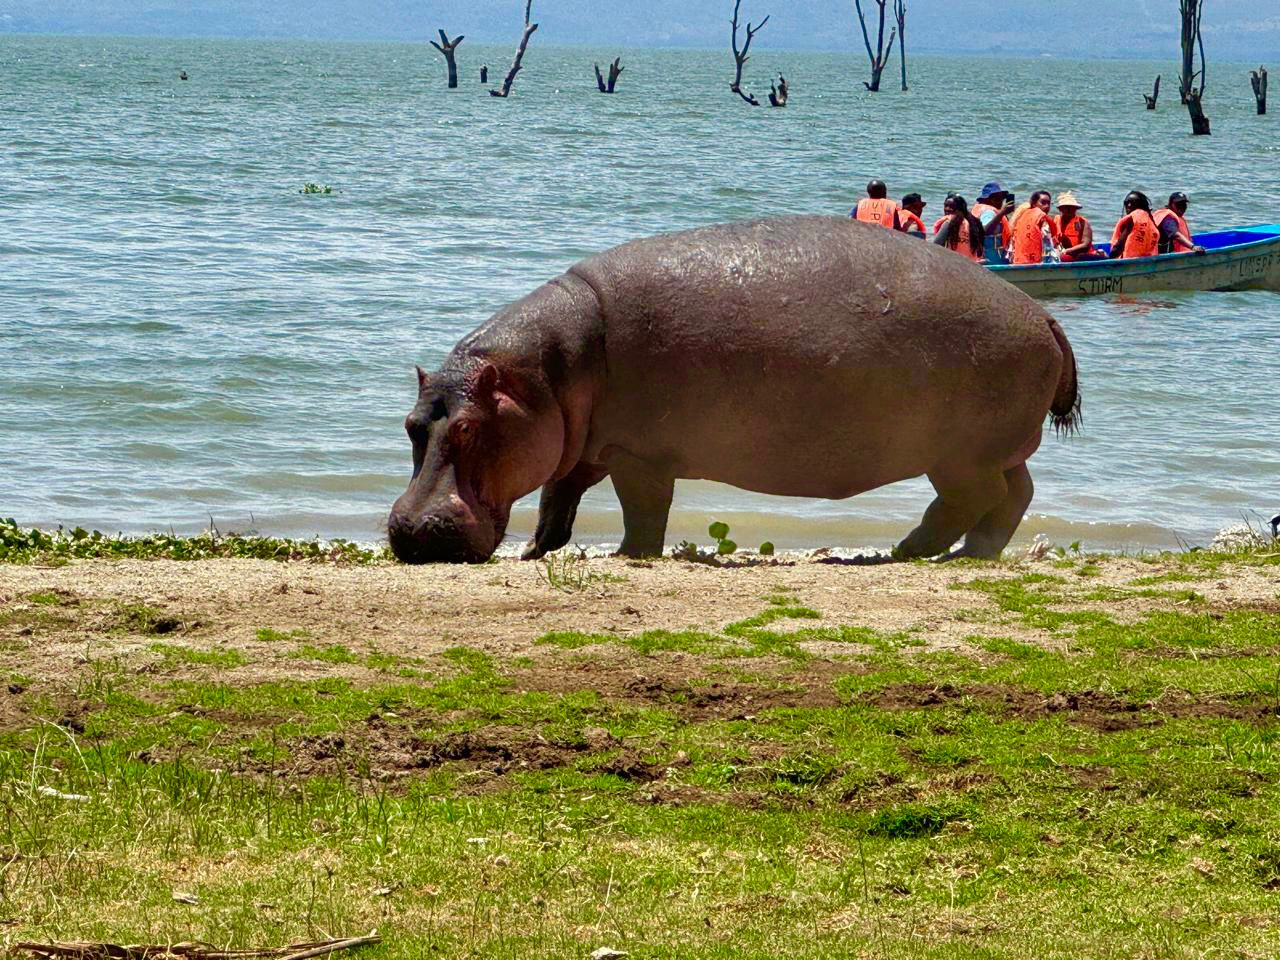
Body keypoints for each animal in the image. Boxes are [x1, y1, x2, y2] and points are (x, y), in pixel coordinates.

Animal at [388, 215, 1079, 564]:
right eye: (411, 425)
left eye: (470, 427)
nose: (411, 533)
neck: (543, 375)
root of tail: (1043, 316)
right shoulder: (578, 444)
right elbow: (558, 502)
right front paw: (535, 551)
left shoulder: (638, 455)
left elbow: (643, 510)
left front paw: (630, 554)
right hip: (992, 449)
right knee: (1016, 493)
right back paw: (974, 553)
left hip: (959, 454)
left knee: (975, 497)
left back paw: (909, 551)